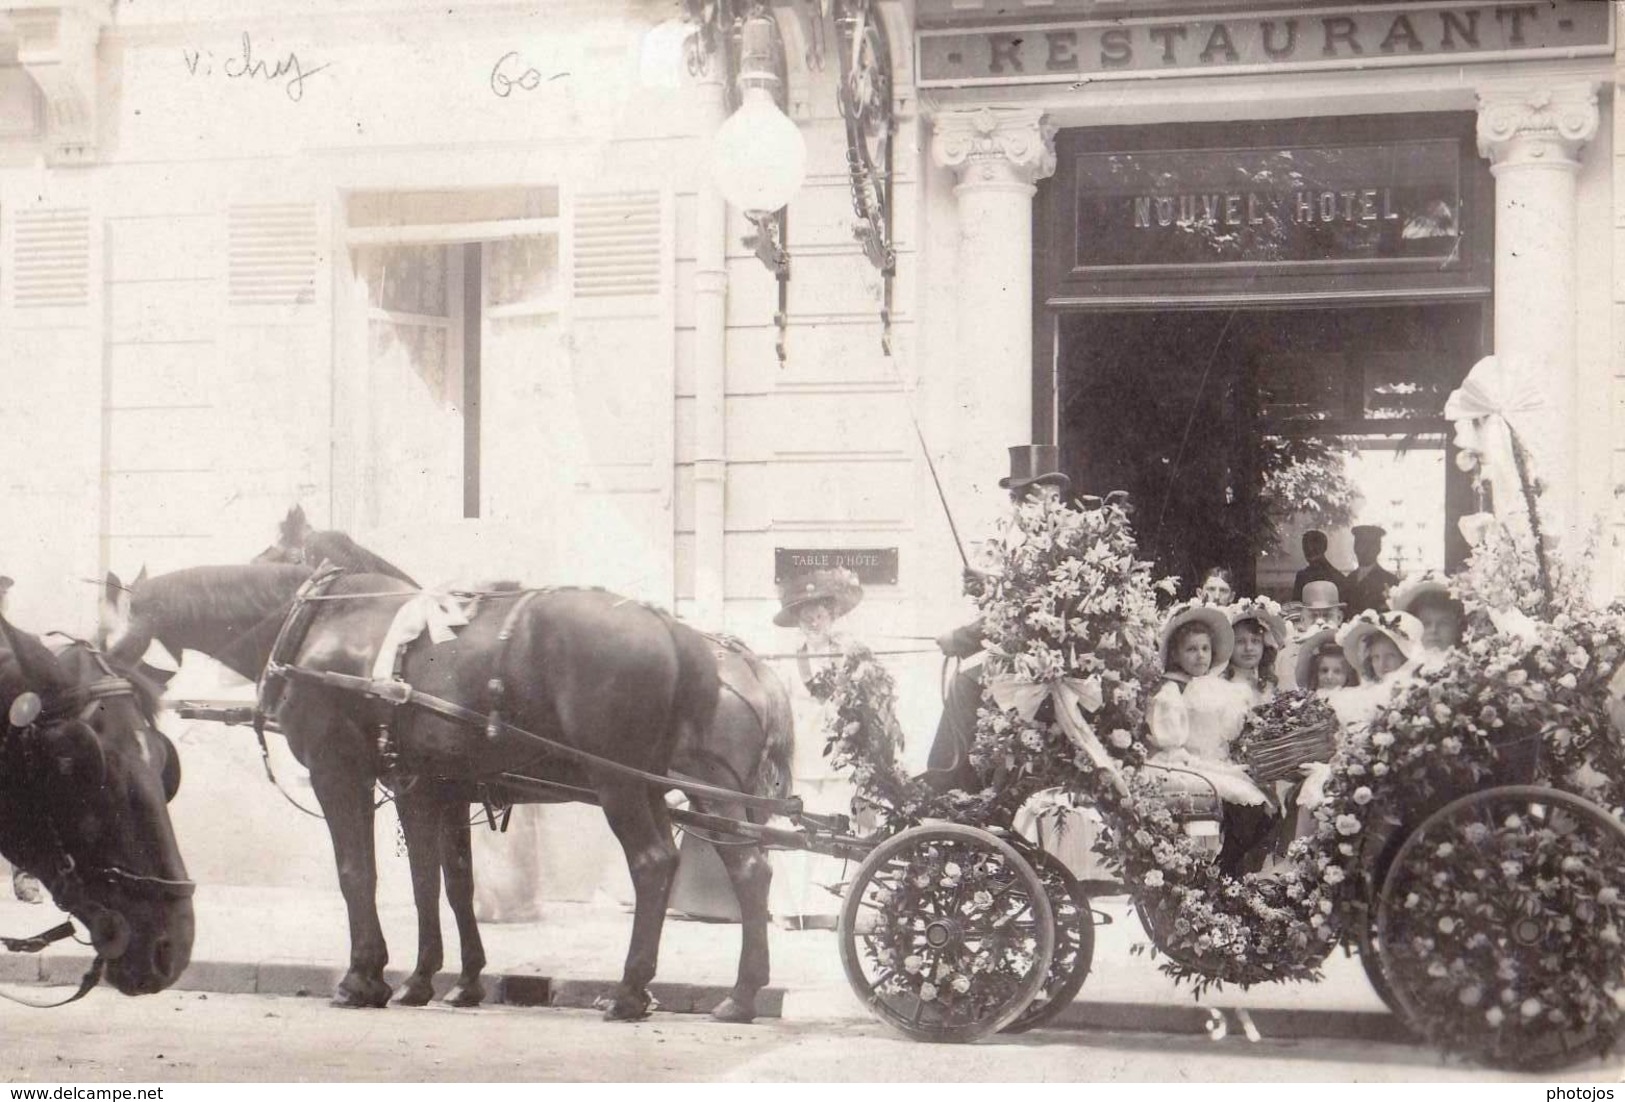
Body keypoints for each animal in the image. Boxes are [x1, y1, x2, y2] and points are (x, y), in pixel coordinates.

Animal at [103, 565, 737, 1020]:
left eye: (103, 634)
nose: (104, 701)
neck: (318, 621)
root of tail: (669, 626)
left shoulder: (341, 772)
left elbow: (357, 873)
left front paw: (363, 977)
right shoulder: (432, 785)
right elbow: (442, 884)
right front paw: (438, 979)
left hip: (619, 783)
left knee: (653, 863)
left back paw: (631, 990)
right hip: (651, 784)